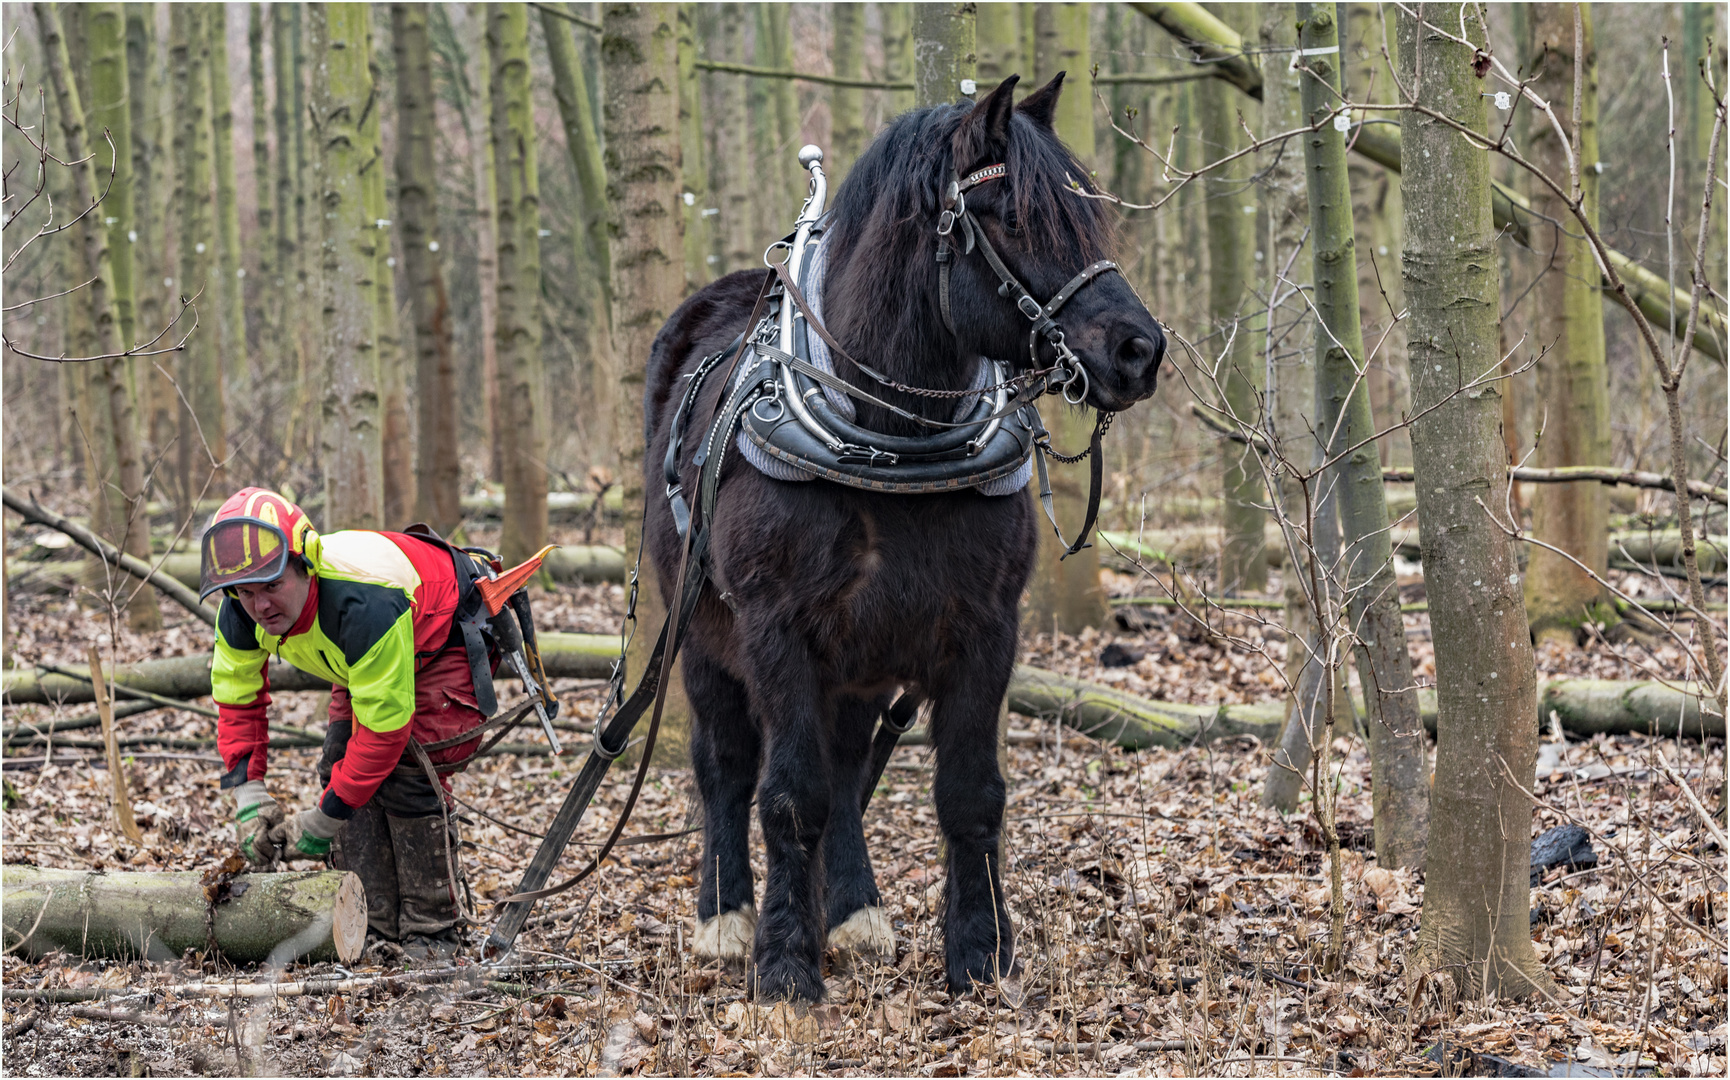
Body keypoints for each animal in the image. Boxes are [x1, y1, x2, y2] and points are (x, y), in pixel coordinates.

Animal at [643, 76, 1169, 1003]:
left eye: (1089, 216)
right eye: (1009, 216)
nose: (1140, 351)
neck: (888, 444)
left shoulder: (986, 628)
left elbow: (968, 794)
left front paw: (981, 955)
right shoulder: (775, 628)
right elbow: (788, 795)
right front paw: (786, 967)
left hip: (859, 658)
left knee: (849, 766)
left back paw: (852, 913)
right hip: (702, 635)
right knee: (725, 764)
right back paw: (725, 918)